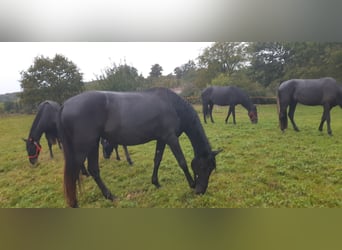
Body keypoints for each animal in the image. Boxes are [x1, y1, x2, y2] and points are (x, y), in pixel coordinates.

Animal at [58, 88, 220, 207]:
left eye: (211, 168)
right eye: (204, 167)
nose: (201, 191)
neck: (173, 106)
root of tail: (65, 105)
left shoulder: (161, 139)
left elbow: (157, 160)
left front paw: (156, 183)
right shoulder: (171, 138)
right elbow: (182, 162)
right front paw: (191, 184)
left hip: (93, 144)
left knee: (93, 170)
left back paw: (109, 196)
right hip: (84, 146)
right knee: (75, 174)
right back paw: (76, 203)